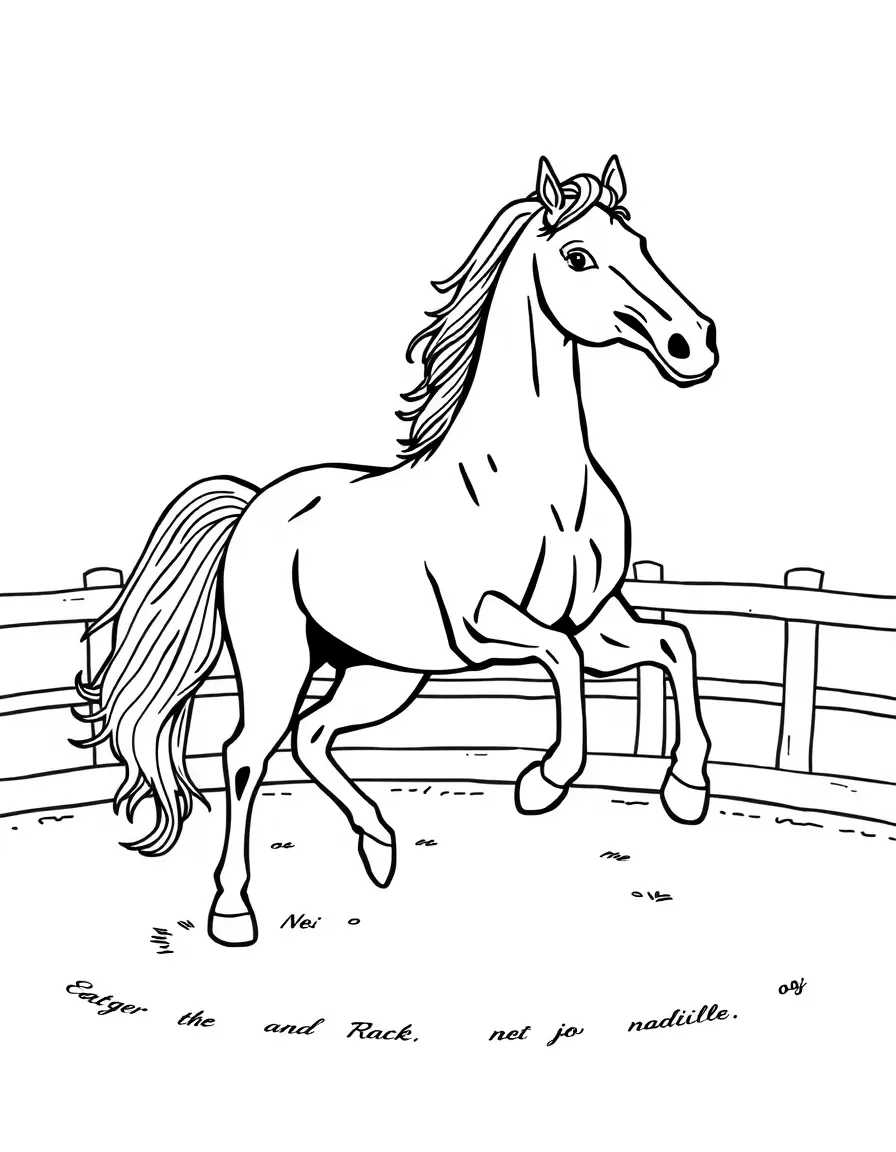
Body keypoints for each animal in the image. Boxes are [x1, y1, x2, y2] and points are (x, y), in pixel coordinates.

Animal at [75, 155, 719, 947]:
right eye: (578, 256)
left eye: (642, 243)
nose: (695, 342)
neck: (534, 482)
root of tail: (255, 505)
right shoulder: (488, 624)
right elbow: (563, 662)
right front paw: (542, 783)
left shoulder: (599, 618)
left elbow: (675, 644)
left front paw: (687, 790)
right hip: (281, 662)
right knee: (247, 755)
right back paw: (233, 912)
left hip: (382, 673)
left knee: (313, 736)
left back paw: (379, 845)